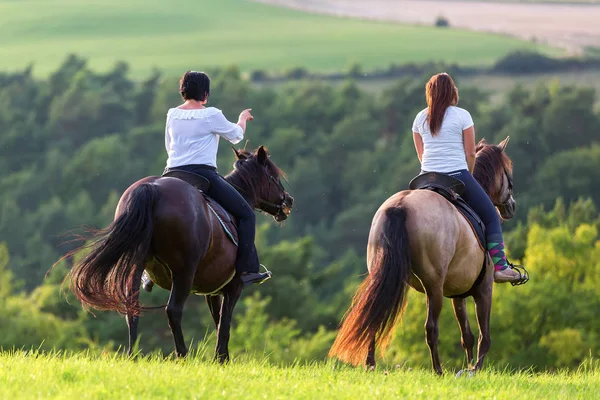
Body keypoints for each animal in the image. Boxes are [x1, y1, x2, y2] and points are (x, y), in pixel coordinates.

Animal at [57, 145, 292, 360]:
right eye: (273, 176)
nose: (288, 200)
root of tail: (151, 188)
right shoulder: (233, 286)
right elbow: (224, 324)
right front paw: (222, 360)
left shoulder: (212, 291)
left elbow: (217, 322)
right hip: (184, 272)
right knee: (173, 310)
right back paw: (182, 355)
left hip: (136, 266)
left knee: (132, 308)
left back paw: (133, 355)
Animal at [328, 137, 528, 376]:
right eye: (508, 172)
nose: (512, 206)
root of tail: (400, 206)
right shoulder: (484, 289)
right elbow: (484, 336)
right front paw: (475, 368)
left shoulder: (458, 294)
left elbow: (467, 336)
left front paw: (468, 366)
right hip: (434, 287)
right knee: (431, 327)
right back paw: (438, 370)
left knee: (374, 317)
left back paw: (371, 365)